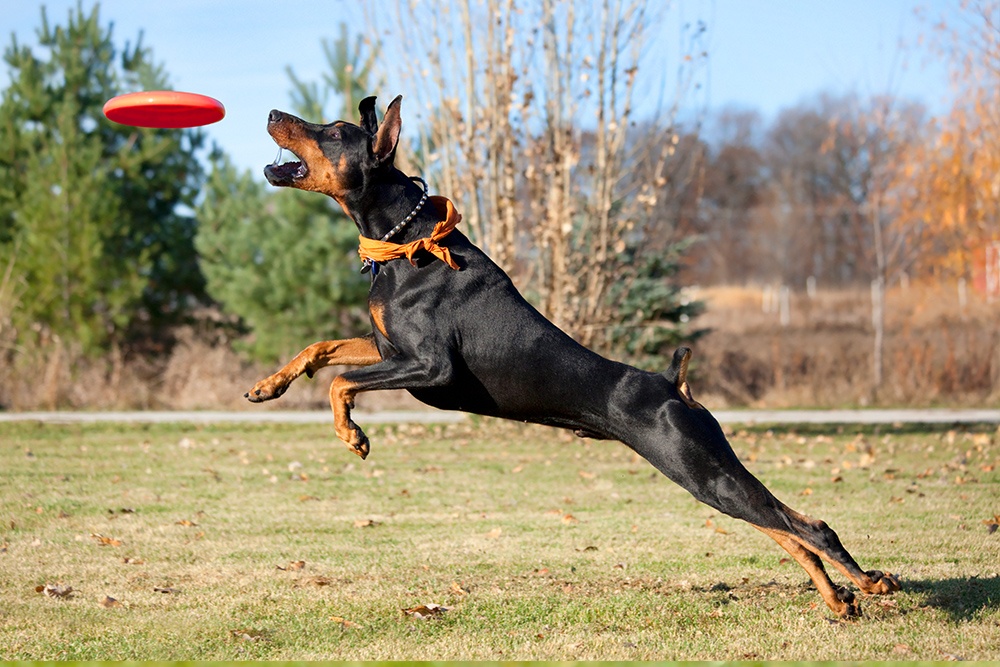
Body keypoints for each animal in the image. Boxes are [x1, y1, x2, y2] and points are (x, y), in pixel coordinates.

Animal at [242, 94, 900, 616]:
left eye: (333, 130)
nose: (272, 112)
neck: (406, 243)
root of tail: (674, 385)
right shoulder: (386, 346)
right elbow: (323, 348)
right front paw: (269, 386)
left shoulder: (429, 368)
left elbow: (342, 382)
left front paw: (352, 435)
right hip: (707, 474)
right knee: (790, 531)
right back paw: (844, 598)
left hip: (698, 466)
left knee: (802, 526)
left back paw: (867, 584)